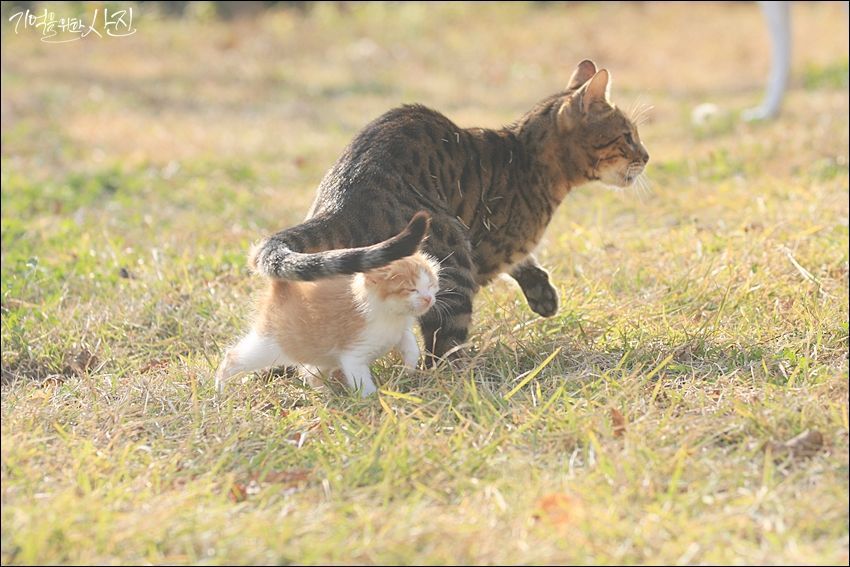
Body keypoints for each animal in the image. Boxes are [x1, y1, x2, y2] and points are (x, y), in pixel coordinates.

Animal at [214, 255, 438, 398]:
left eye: (431, 285)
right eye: (411, 289)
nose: (428, 299)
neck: (390, 316)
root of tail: (280, 291)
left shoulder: (400, 331)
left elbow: (411, 347)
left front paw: (408, 370)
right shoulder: (354, 353)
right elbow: (360, 377)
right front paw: (373, 399)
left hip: (320, 356)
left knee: (312, 374)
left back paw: (326, 393)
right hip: (270, 347)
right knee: (233, 357)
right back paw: (219, 392)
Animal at [252, 61, 648, 364]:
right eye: (627, 136)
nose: (646, 156)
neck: (530, 160)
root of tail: (341, 201)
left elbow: (527, 263)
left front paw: (543, 295)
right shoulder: (485, 253)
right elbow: (514, 258)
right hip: (451, 255)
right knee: (442, 348)